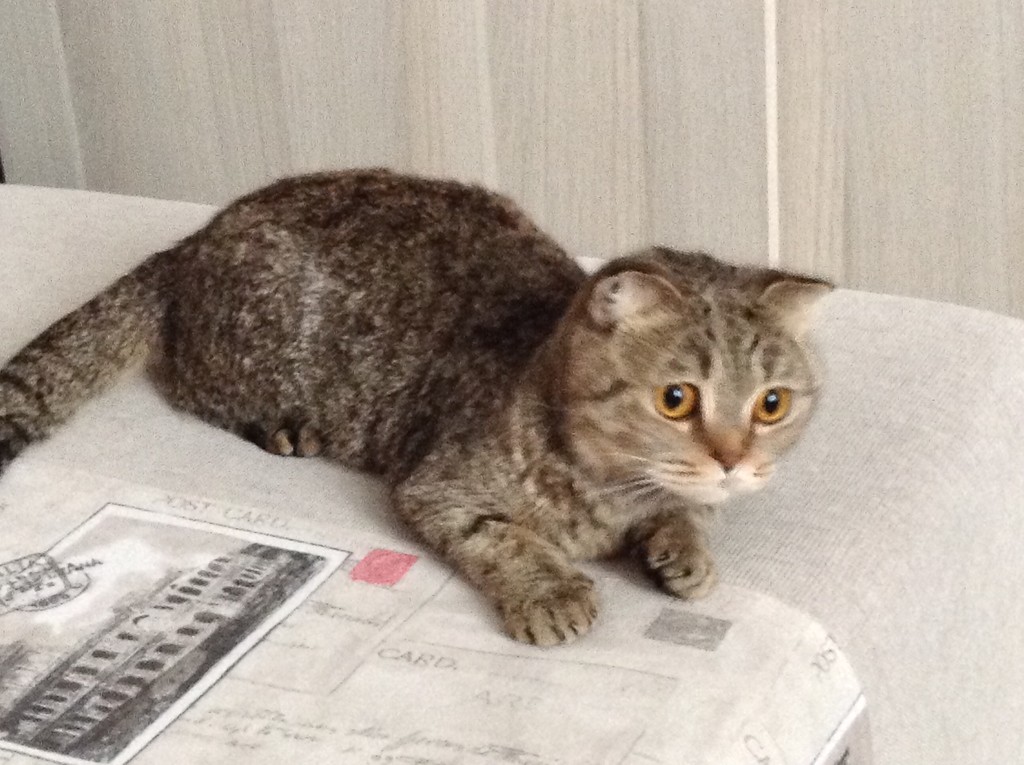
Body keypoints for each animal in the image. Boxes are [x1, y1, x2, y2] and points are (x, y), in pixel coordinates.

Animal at [0, 168, 831, 646]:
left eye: (771, 404)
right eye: (675, 398)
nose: (734, 459)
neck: (610, 494)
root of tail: (191, 241)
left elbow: (688, 513)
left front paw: (685, 547)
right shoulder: (437, 484)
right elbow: (500, 537)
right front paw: (550, 588)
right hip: (248, 349)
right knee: (188, 385)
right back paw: (282, 425)